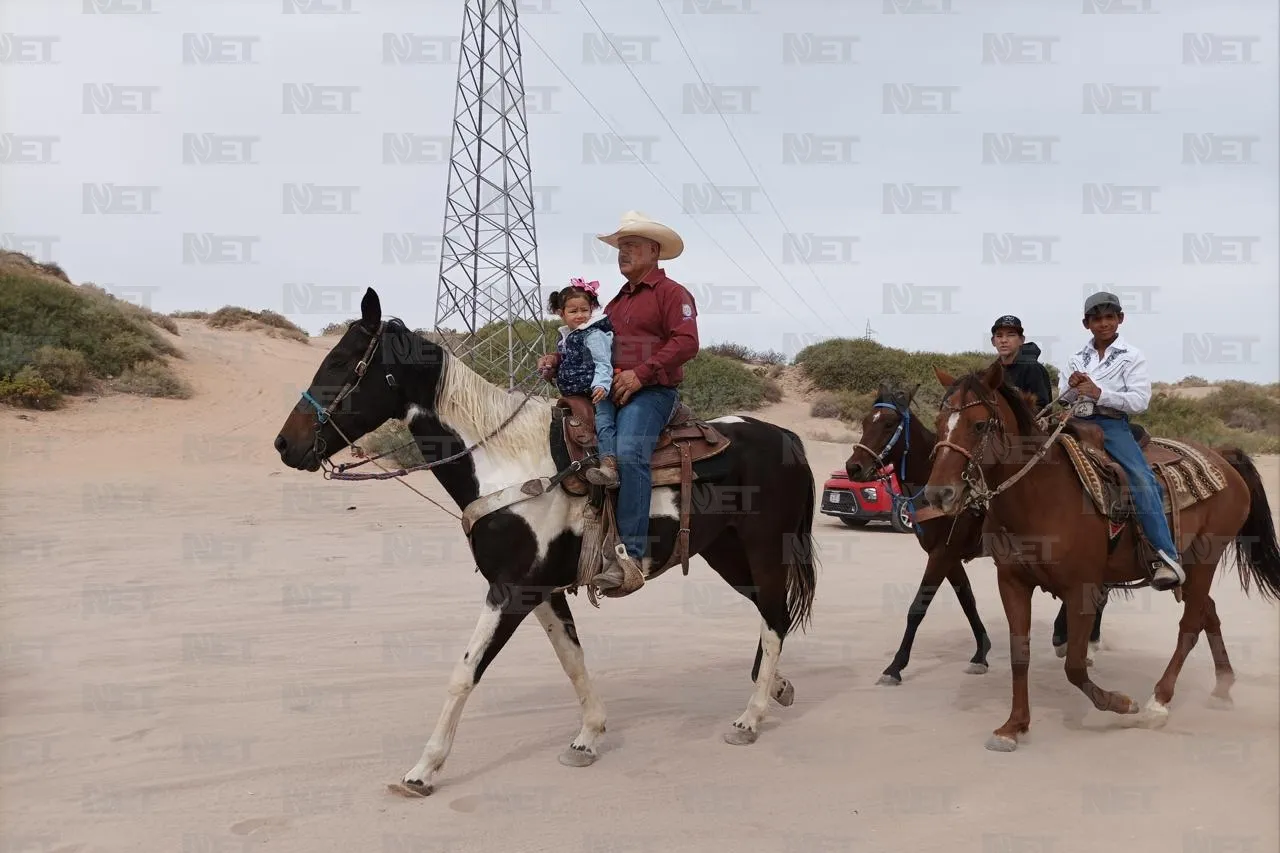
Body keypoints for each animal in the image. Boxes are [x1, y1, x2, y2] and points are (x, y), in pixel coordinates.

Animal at [275, 289, 824, 794]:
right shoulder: (541, 591)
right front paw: (588, 737)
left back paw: (750, 717)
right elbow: (572, 659)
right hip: (725, 553)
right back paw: (774, 687)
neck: (504, 461)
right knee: (769, 614)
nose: (285, 444)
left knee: (775, 618)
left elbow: (464, 672)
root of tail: (788, 439)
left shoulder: (510, 591)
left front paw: (424, 769)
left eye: (341, 362)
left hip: (764, 548)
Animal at [844, 381, 1105, 681]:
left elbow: (918, 607)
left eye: (889, 424)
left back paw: (1082, 640)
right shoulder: (948, 557)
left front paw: (896, 666)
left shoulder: (942, 555)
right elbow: (967, 600)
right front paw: (981, 653)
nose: (853, 467)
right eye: (866, 421)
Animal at [921, 361, 1280, 747]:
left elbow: (1075, 665)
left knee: (1190, 626)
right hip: (1189, 568)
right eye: (939, 422)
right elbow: (1021, 655)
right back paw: (1223, 689)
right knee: (1208, 614)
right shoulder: (1013, 583)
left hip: (1205, 560)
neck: (1040, 495)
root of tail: (1223, 458)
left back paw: (1158, 703)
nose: (938, 494)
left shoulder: (1083, 589)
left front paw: (1121, 703)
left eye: (978, 424)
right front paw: (1013, 727)